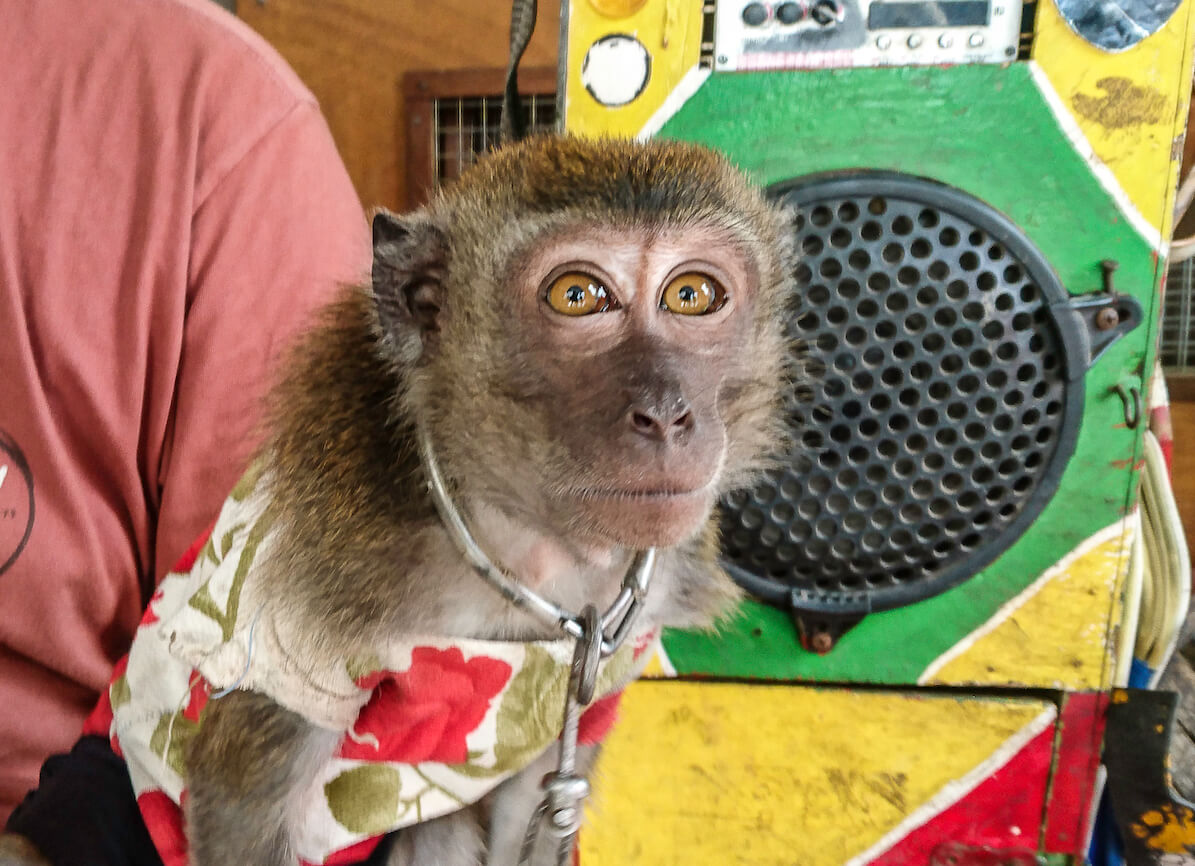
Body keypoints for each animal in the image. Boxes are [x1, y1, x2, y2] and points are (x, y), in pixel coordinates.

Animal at [7, 134, 803, 864]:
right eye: (578, 296)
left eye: (691, 295)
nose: (667, 412)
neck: (527, 551)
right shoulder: (299, 626)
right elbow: (240, 802)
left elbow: (533, 805)